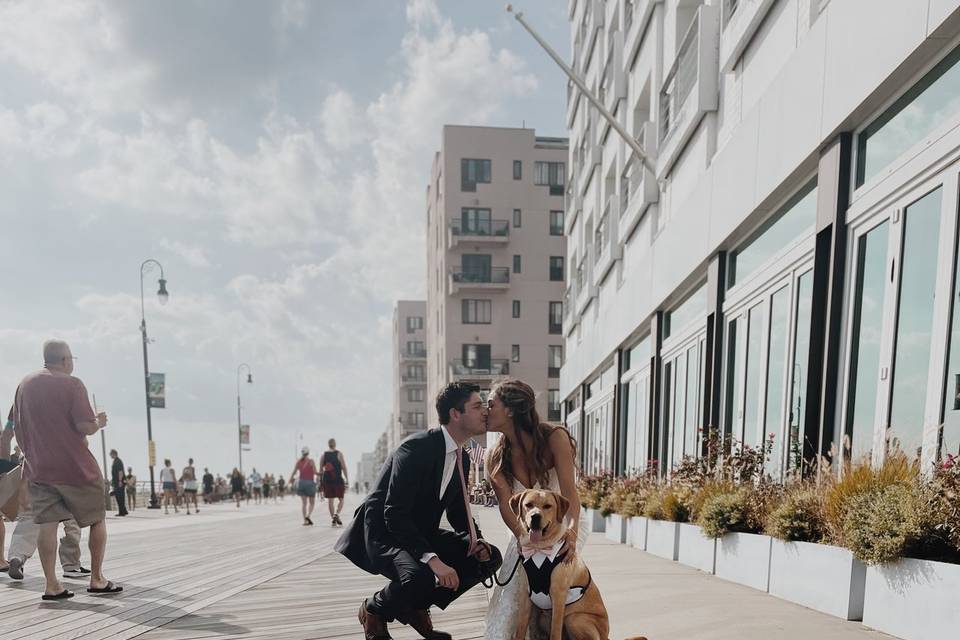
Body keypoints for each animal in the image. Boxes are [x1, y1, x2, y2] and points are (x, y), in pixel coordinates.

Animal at [510, 488, 644, 636]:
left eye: (547, 506)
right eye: (528, 505)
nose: (535, 517)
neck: (538, 549)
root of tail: (606, 634)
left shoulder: (558, 595)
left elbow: (555, 632)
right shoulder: (525, 595)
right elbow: (520, 629)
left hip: (575, 619)